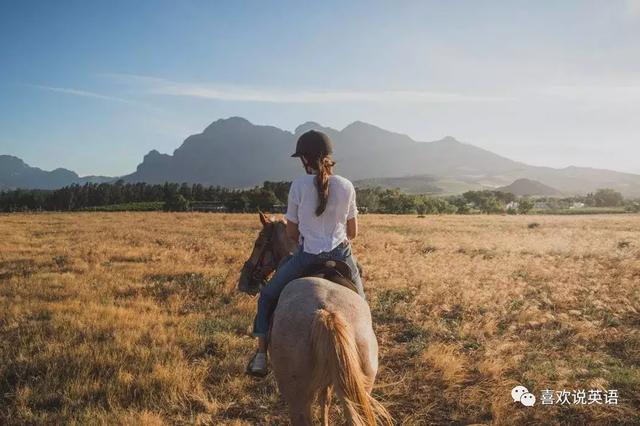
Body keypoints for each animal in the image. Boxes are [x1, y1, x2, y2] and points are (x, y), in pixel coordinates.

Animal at [239, 215, 392, 426]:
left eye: (259, 242)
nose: (245, 280)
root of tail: (328, 313)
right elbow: (325, 401)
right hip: (361, 386)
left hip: (297, 396)